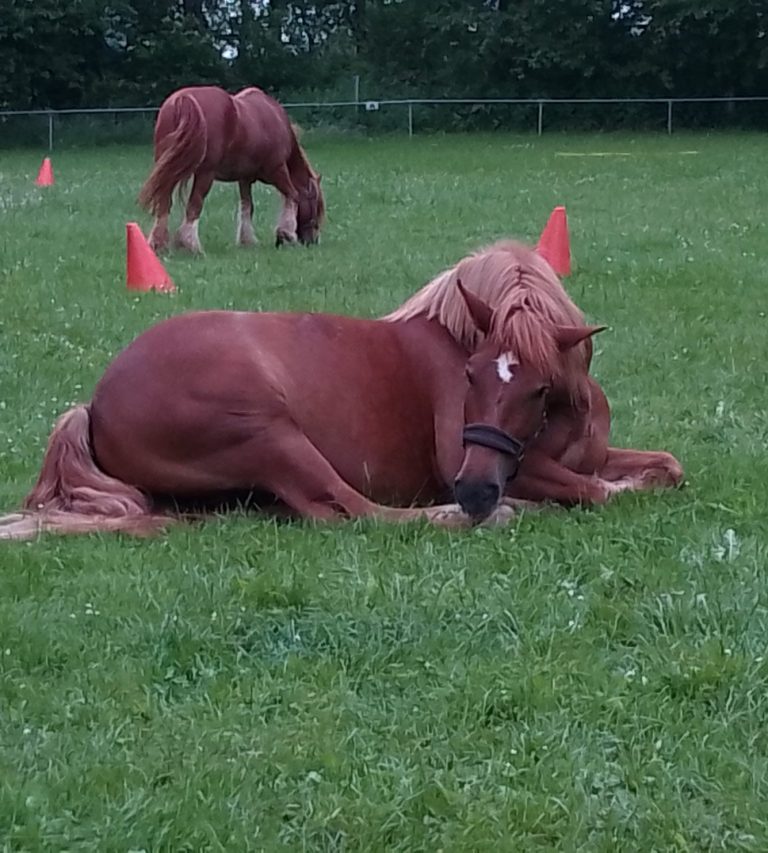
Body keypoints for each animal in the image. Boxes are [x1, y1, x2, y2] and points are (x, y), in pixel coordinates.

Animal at [0, 240, 682, 541]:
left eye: (539, 390)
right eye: (467, 375)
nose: (475, 490)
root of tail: (94, 404)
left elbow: (666, 467)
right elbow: (595, 491)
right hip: (270, 435)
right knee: (354, 511)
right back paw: (471, 514)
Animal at [138, 85, 325, 254]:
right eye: (315, 205)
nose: (312, 241)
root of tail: (182, 100)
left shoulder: (245, 179)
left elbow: (247, 206)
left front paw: (247, 241)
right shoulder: (278, 171)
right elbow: (293, 195)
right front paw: (286, 234)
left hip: (167, 172)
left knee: (164, 205)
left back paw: (159, 244)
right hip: (204, 174)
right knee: (194, 206)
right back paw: (192, 246)